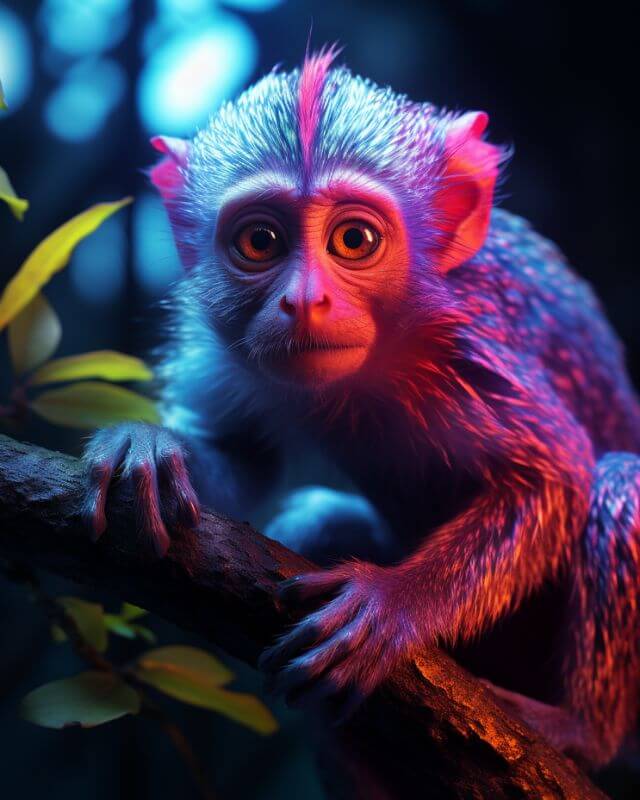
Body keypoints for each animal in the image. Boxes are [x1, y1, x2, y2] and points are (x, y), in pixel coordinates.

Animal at [82, 47, 640, 769]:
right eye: (260, 241)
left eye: (353, 240)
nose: (304, 301)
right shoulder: (224, 346)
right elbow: (242, 462)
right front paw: (148, 446)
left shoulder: (469, 341)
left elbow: (558, 473)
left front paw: (394, 604)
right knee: (318, 518)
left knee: (620, 481)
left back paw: (583, 733)